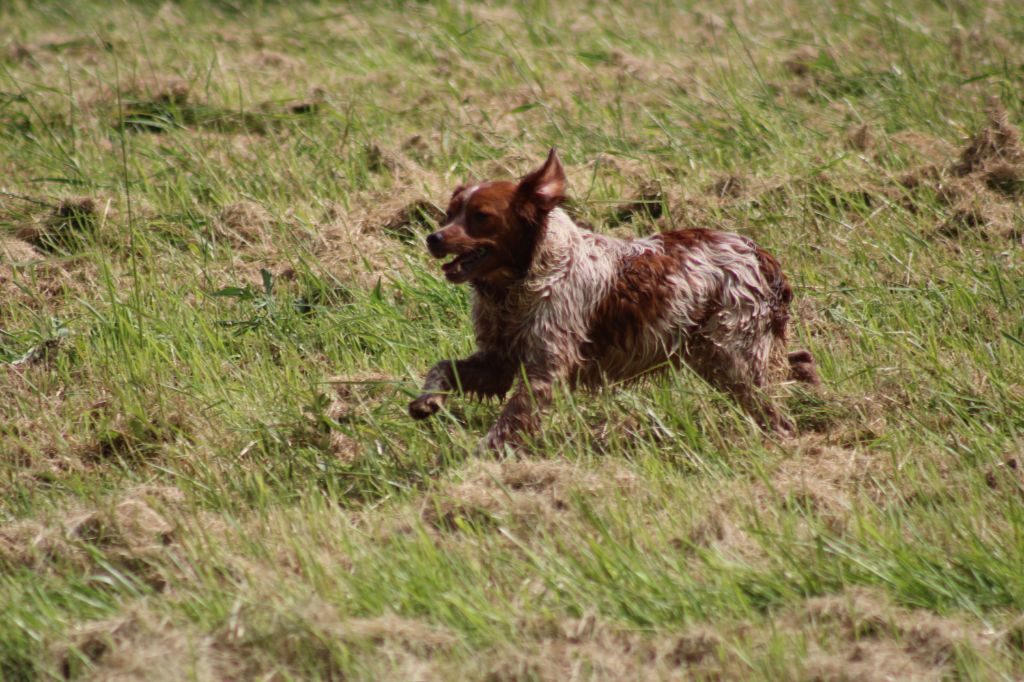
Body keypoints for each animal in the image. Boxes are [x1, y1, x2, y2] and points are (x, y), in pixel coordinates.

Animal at [407, 148, 815, 448]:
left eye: (481, 216)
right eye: (449, 213)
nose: (433, 238)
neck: (523, 281)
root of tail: (760, 255)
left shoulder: (543, 368)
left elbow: (509, 423)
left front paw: (479, 460)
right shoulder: (500, 361)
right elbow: (442, 367)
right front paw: (427, 400)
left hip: (732, 357)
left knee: (778, 416)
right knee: (797, 363)